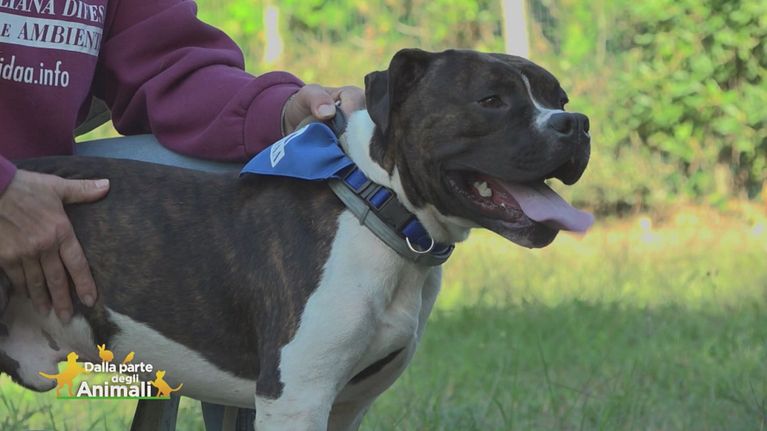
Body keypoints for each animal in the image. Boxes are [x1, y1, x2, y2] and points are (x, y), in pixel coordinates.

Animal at [0, 49, 592, 430]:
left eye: (559, 97)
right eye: (491, 99)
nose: (577, 123)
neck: (377, 207)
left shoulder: (347, 406)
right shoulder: (297, 400)